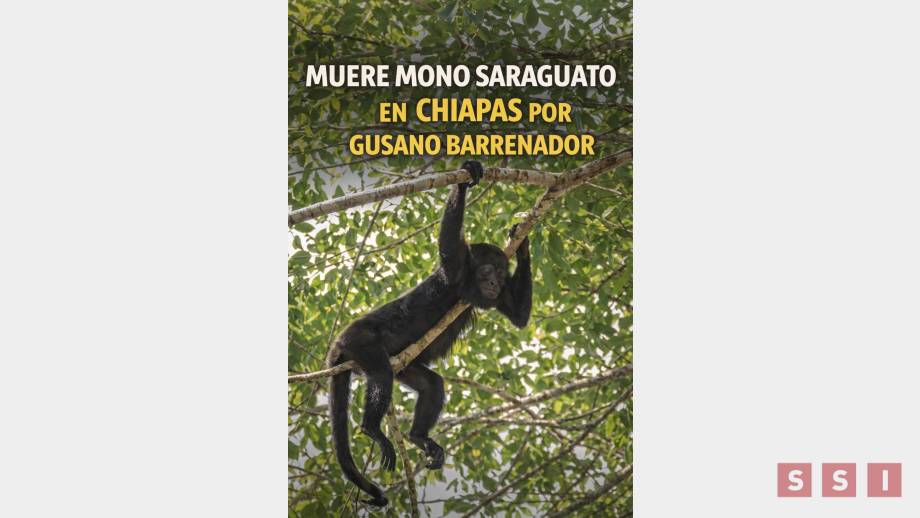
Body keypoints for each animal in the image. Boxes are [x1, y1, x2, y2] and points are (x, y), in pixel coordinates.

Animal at [325, 160, 532, 506]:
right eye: (487, 271)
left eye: (502, 274)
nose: (494, 282)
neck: (471, 281)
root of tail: (341, 339)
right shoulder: (457, 266)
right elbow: (448, 242)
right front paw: (465, 178)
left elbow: (519, 317)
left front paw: (524, 240)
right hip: (359, 341)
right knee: (381, 374)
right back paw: (372, 429)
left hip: (404, 364)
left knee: (431, 384)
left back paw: (418, 437)